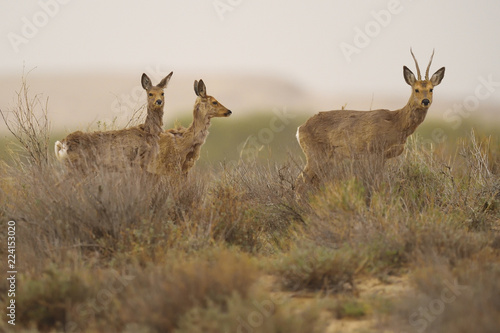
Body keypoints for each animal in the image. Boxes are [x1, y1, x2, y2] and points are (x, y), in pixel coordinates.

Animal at [296, 49, 446, 184]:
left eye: (431, 89)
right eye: (416, 89)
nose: (425, 101)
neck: (397, 123)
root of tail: (300, 129)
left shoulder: (383, 156)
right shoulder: (374, 150)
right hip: (315, 155)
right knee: (300, 181)